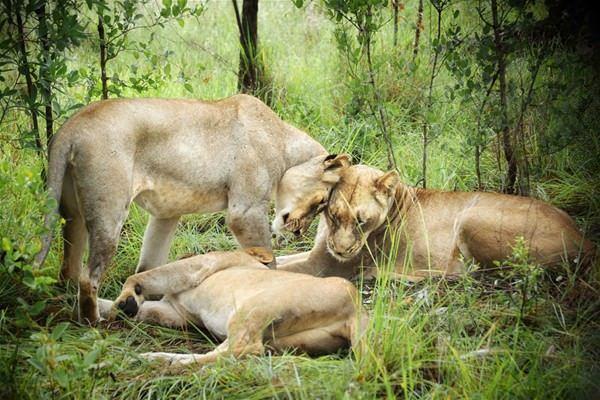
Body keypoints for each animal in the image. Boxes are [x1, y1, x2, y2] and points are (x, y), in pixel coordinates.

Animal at [102, 248, 366, 368]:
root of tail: (356, 307)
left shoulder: (200, 265)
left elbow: (144, 276)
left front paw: (126, 300)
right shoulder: (176, 313)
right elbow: (143, 309)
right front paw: (108, 308)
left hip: (255, 306)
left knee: (242, 349)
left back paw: (156, 360)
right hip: (288, 341)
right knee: (238, 352)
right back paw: (158, 358)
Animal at [276, 164, 596, 280]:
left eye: (362, 221)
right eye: (333, 215)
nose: (341, 250)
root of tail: (585, 238)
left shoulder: (324, 267)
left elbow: (282, 269)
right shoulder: (318, 253)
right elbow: (278, 260)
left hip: (470, 216)